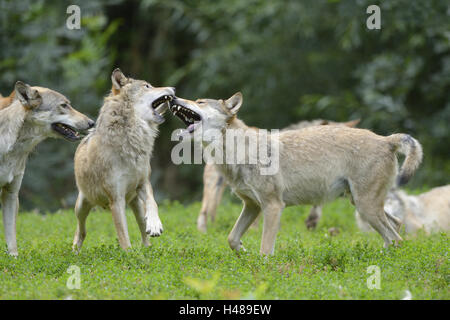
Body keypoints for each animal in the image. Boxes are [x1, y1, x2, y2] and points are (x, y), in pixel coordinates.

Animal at [0, 81, 94, 256]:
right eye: (64, 105)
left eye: (68, 104)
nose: (92, 123)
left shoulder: (11, 193)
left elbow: (11, 239)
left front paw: (13, 259)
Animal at [71, 69, 174, 251]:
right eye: (147, 86)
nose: (173, 89)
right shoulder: (116, 200)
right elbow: (123, 235)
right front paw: (129, 254)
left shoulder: (143, 183)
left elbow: (153, 203)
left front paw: (155, 225)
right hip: (81, 207)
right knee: (80, 230)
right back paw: (75, 250)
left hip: (135, 203)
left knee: (143, 229)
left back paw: (147, 248)